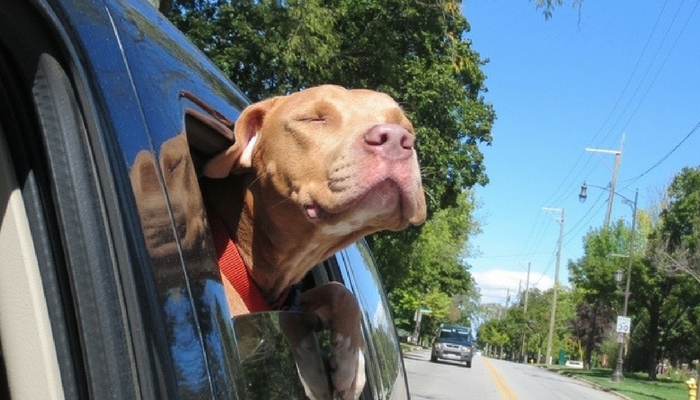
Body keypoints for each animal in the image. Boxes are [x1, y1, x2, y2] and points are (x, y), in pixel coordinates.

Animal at [198, 83, 426, 396]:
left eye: (406, 127)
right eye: (314, 119)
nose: (396, 138)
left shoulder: (292, 298)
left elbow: (338, 291)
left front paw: (350, 363)